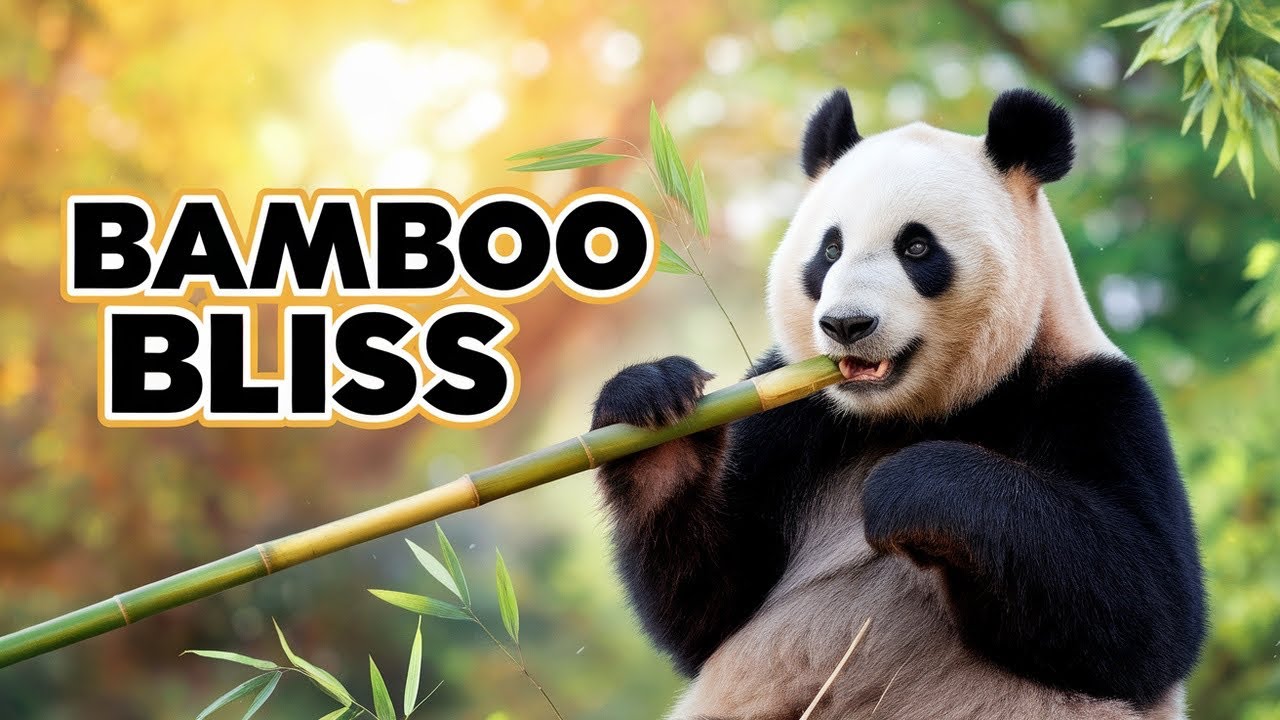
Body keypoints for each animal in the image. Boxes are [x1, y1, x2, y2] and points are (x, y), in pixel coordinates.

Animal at [590, 88, 1206, 720]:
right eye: (830, 249)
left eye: (916, 247)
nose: (846, 324)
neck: (907, 413)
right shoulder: (792, 415)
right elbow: (710, 603)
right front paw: (656, 407)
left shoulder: (1095, 399)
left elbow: (1147, 613)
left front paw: (908, 490)